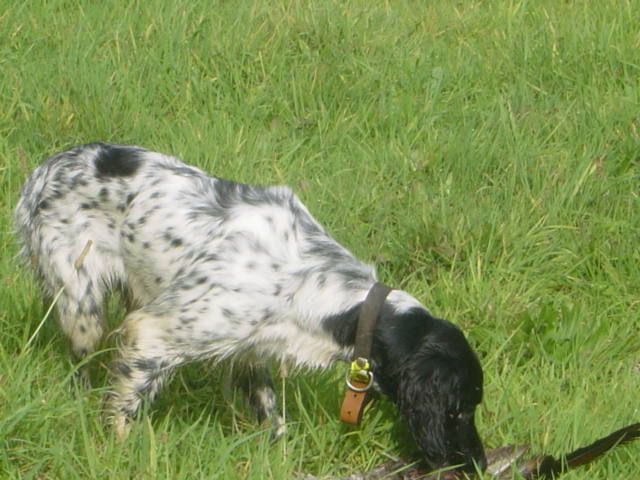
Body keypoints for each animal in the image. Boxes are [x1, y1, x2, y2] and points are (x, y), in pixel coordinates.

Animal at [13, 142, 484, 472]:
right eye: (459, 409)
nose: (478, 463)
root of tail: (46, 167)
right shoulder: (154, 332)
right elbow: (123, 413)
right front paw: (119, 453)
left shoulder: (252, 351)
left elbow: (271, 416)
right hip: (83, 304)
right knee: (82, 364)